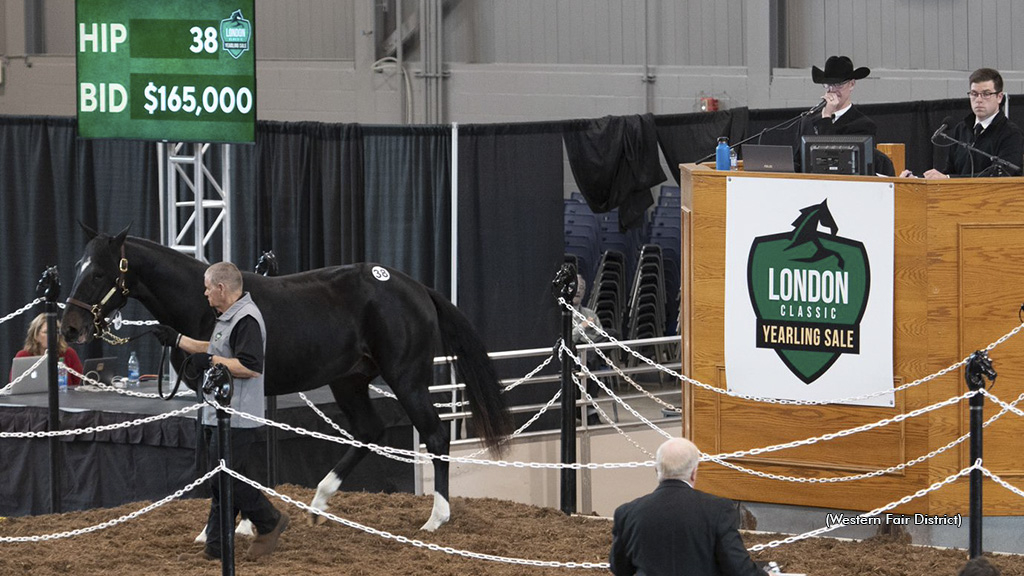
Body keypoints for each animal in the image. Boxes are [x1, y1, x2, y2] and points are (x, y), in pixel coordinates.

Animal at [58, 224, 512, 528]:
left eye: (99, 272)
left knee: (434, 436)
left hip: (407, 378)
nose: (70, 328)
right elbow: (219, 456)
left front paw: (237, 525)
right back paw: (319, 502)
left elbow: (228, 457)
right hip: (349, 380)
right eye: (78, 267)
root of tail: (417, 288)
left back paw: (436, 518)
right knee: (369, 430)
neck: (204, 306)